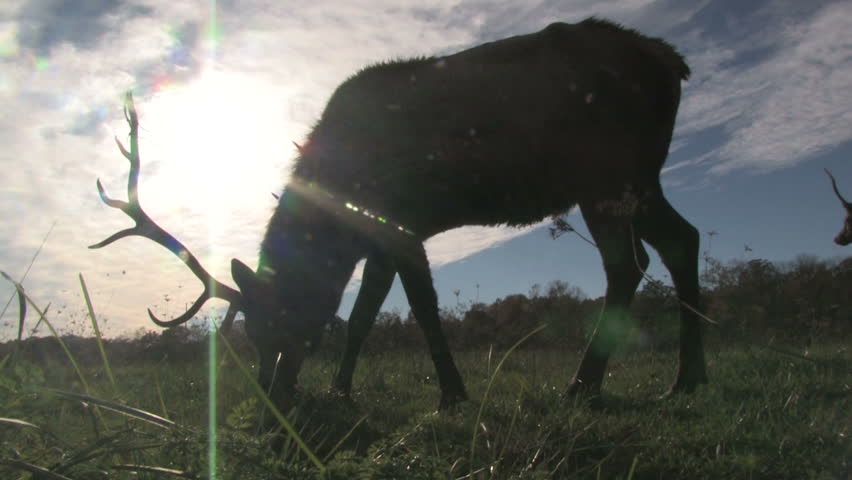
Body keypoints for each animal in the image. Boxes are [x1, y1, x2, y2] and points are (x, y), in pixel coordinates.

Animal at [92, 17, 707, 412]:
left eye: (283, 321)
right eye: (250, 334)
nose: (275, 396)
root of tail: (673, 63)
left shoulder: (402, 221)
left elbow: (423, 309)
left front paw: (452, 394)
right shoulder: (376, 240)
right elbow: (362, 316)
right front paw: (342, 390)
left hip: (604, 169)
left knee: (627, 263)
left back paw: (584, 384)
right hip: (639, 177)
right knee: (682, 238)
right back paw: (686, 380)